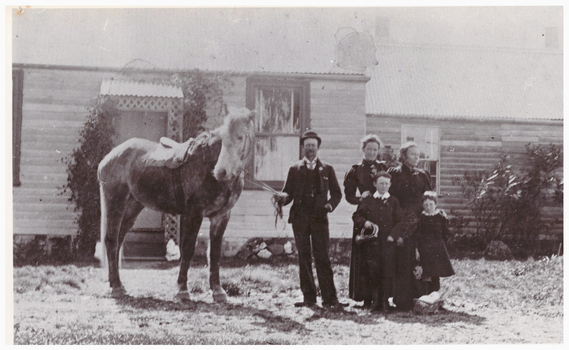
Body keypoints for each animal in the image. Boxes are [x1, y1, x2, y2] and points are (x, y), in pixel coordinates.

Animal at [98, 106, 254, 300]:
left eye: (240, 137)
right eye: (222, 139)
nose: (221, 172)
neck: (207, 164)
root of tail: (109, 158)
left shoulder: (221, 216)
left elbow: (215, 253)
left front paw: (218, 290)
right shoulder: (194, 214)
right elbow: (188, 249)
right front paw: (182, 289)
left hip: (133, 206)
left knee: (119, 240)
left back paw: (115, 283)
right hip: (116, 203)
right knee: (111, 240)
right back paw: (117, 287)